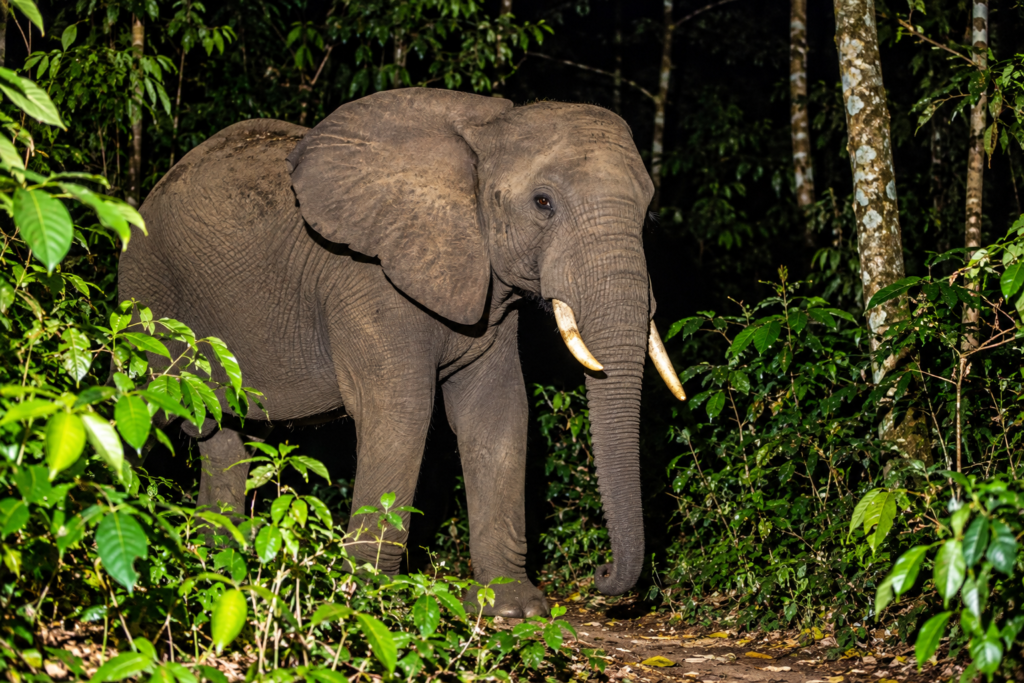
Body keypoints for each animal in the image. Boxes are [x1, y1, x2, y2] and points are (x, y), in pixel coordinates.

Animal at [119, 88, 685, 617]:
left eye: (648, 214)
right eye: (543, 203)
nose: (601, 576)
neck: (486, 131)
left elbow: (499, 413)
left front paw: (512, 609)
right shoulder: (367, 278)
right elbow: (401, 412)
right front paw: (366, 599)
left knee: (225, 437)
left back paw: (216, 558)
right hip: (147, 294)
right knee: (138, 405)